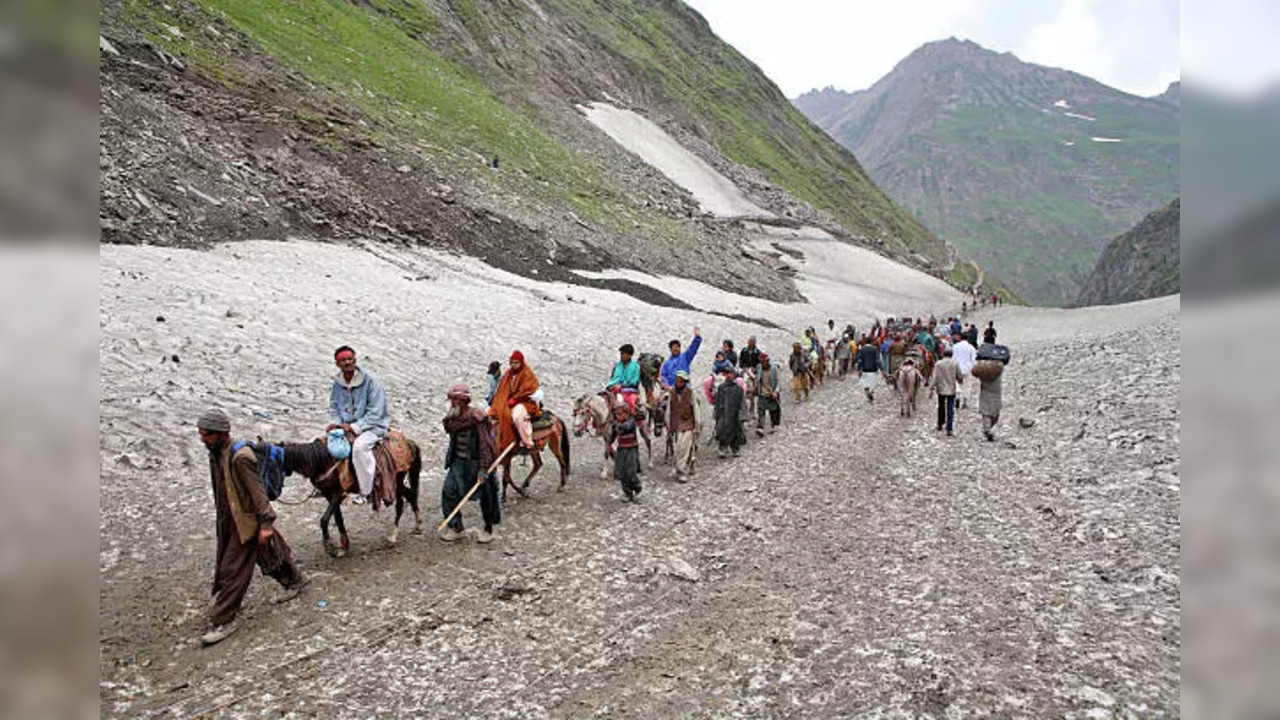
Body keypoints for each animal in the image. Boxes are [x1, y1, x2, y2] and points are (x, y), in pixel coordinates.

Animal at [277, 438, 422, 556]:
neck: (322, 461)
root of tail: (409, 443)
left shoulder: (338, 493)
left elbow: (324, 519)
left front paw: (330, 547)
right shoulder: (329, 495)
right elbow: (338, 518)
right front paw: (344, 545)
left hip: (396, 483)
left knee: (400, 505)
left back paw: (392, 537)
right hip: (397, 485)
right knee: (411, 495)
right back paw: (417, 526)